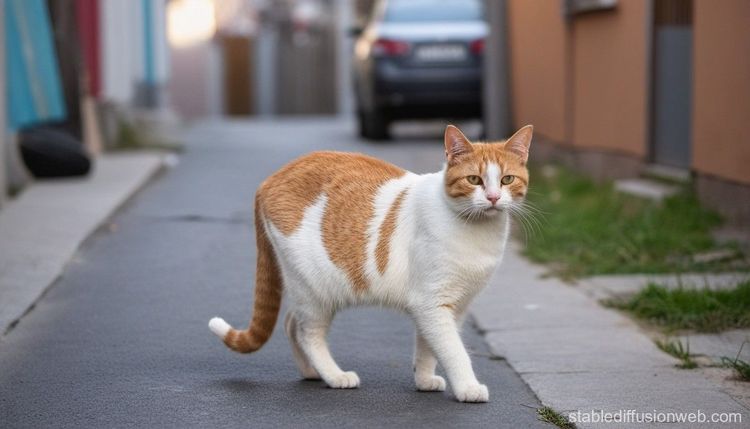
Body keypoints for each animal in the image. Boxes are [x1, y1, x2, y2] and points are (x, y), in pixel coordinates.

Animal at [209, 123, 532, 402]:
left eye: (507, 179)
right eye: (474, 180)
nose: (493, 198)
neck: (478, 233)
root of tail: (269, 179)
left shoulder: (453, 306)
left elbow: (428, 347)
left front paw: (424, 380)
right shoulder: (432, 304)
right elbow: (454, 350)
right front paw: (468, 387)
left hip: (307, 289)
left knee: (291, 323)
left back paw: (312, 373)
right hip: (315, 290)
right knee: (307, 332)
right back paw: (334, 376)